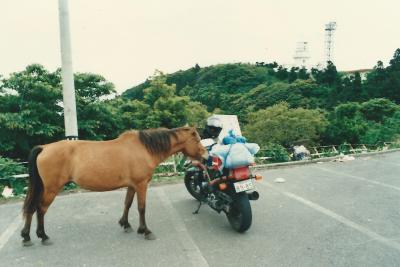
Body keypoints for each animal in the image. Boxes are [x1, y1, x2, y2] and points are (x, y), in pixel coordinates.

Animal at [21, 127, 206, 247]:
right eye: (196, 139)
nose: (205, 156)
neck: (144, 148)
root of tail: (44, 147)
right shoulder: (141, 185)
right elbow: (141, 207)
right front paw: (145, 231)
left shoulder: (132, 185)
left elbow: (127, 204)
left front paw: (126, 224)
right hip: (51, 189)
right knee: (40, 209)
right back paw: (42, 236)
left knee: (32, 208)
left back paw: (27, 236)